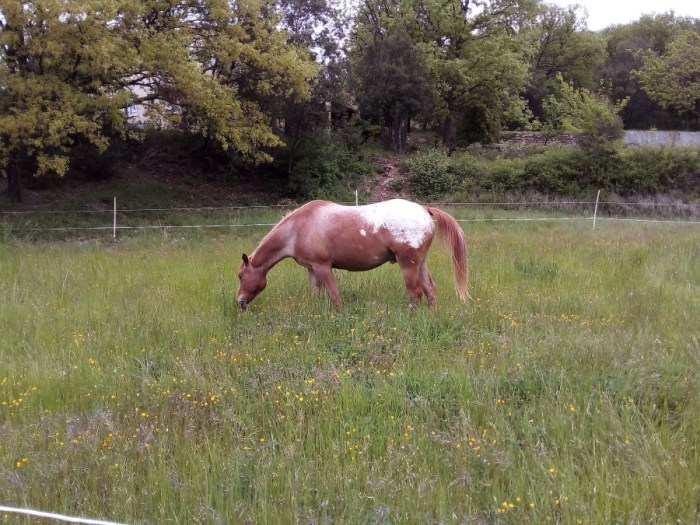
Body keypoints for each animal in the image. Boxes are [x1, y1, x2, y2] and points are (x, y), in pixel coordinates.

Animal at [237, 199, 470, 310]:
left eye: (240, 276)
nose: (239, 301)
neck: (298, 227)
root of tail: (423, 209)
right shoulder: (312, 270)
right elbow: (314, 295)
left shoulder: (323, 267)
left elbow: (335, 296)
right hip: (420, 263)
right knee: (430, 291)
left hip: (408, 265)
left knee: (416, 293)